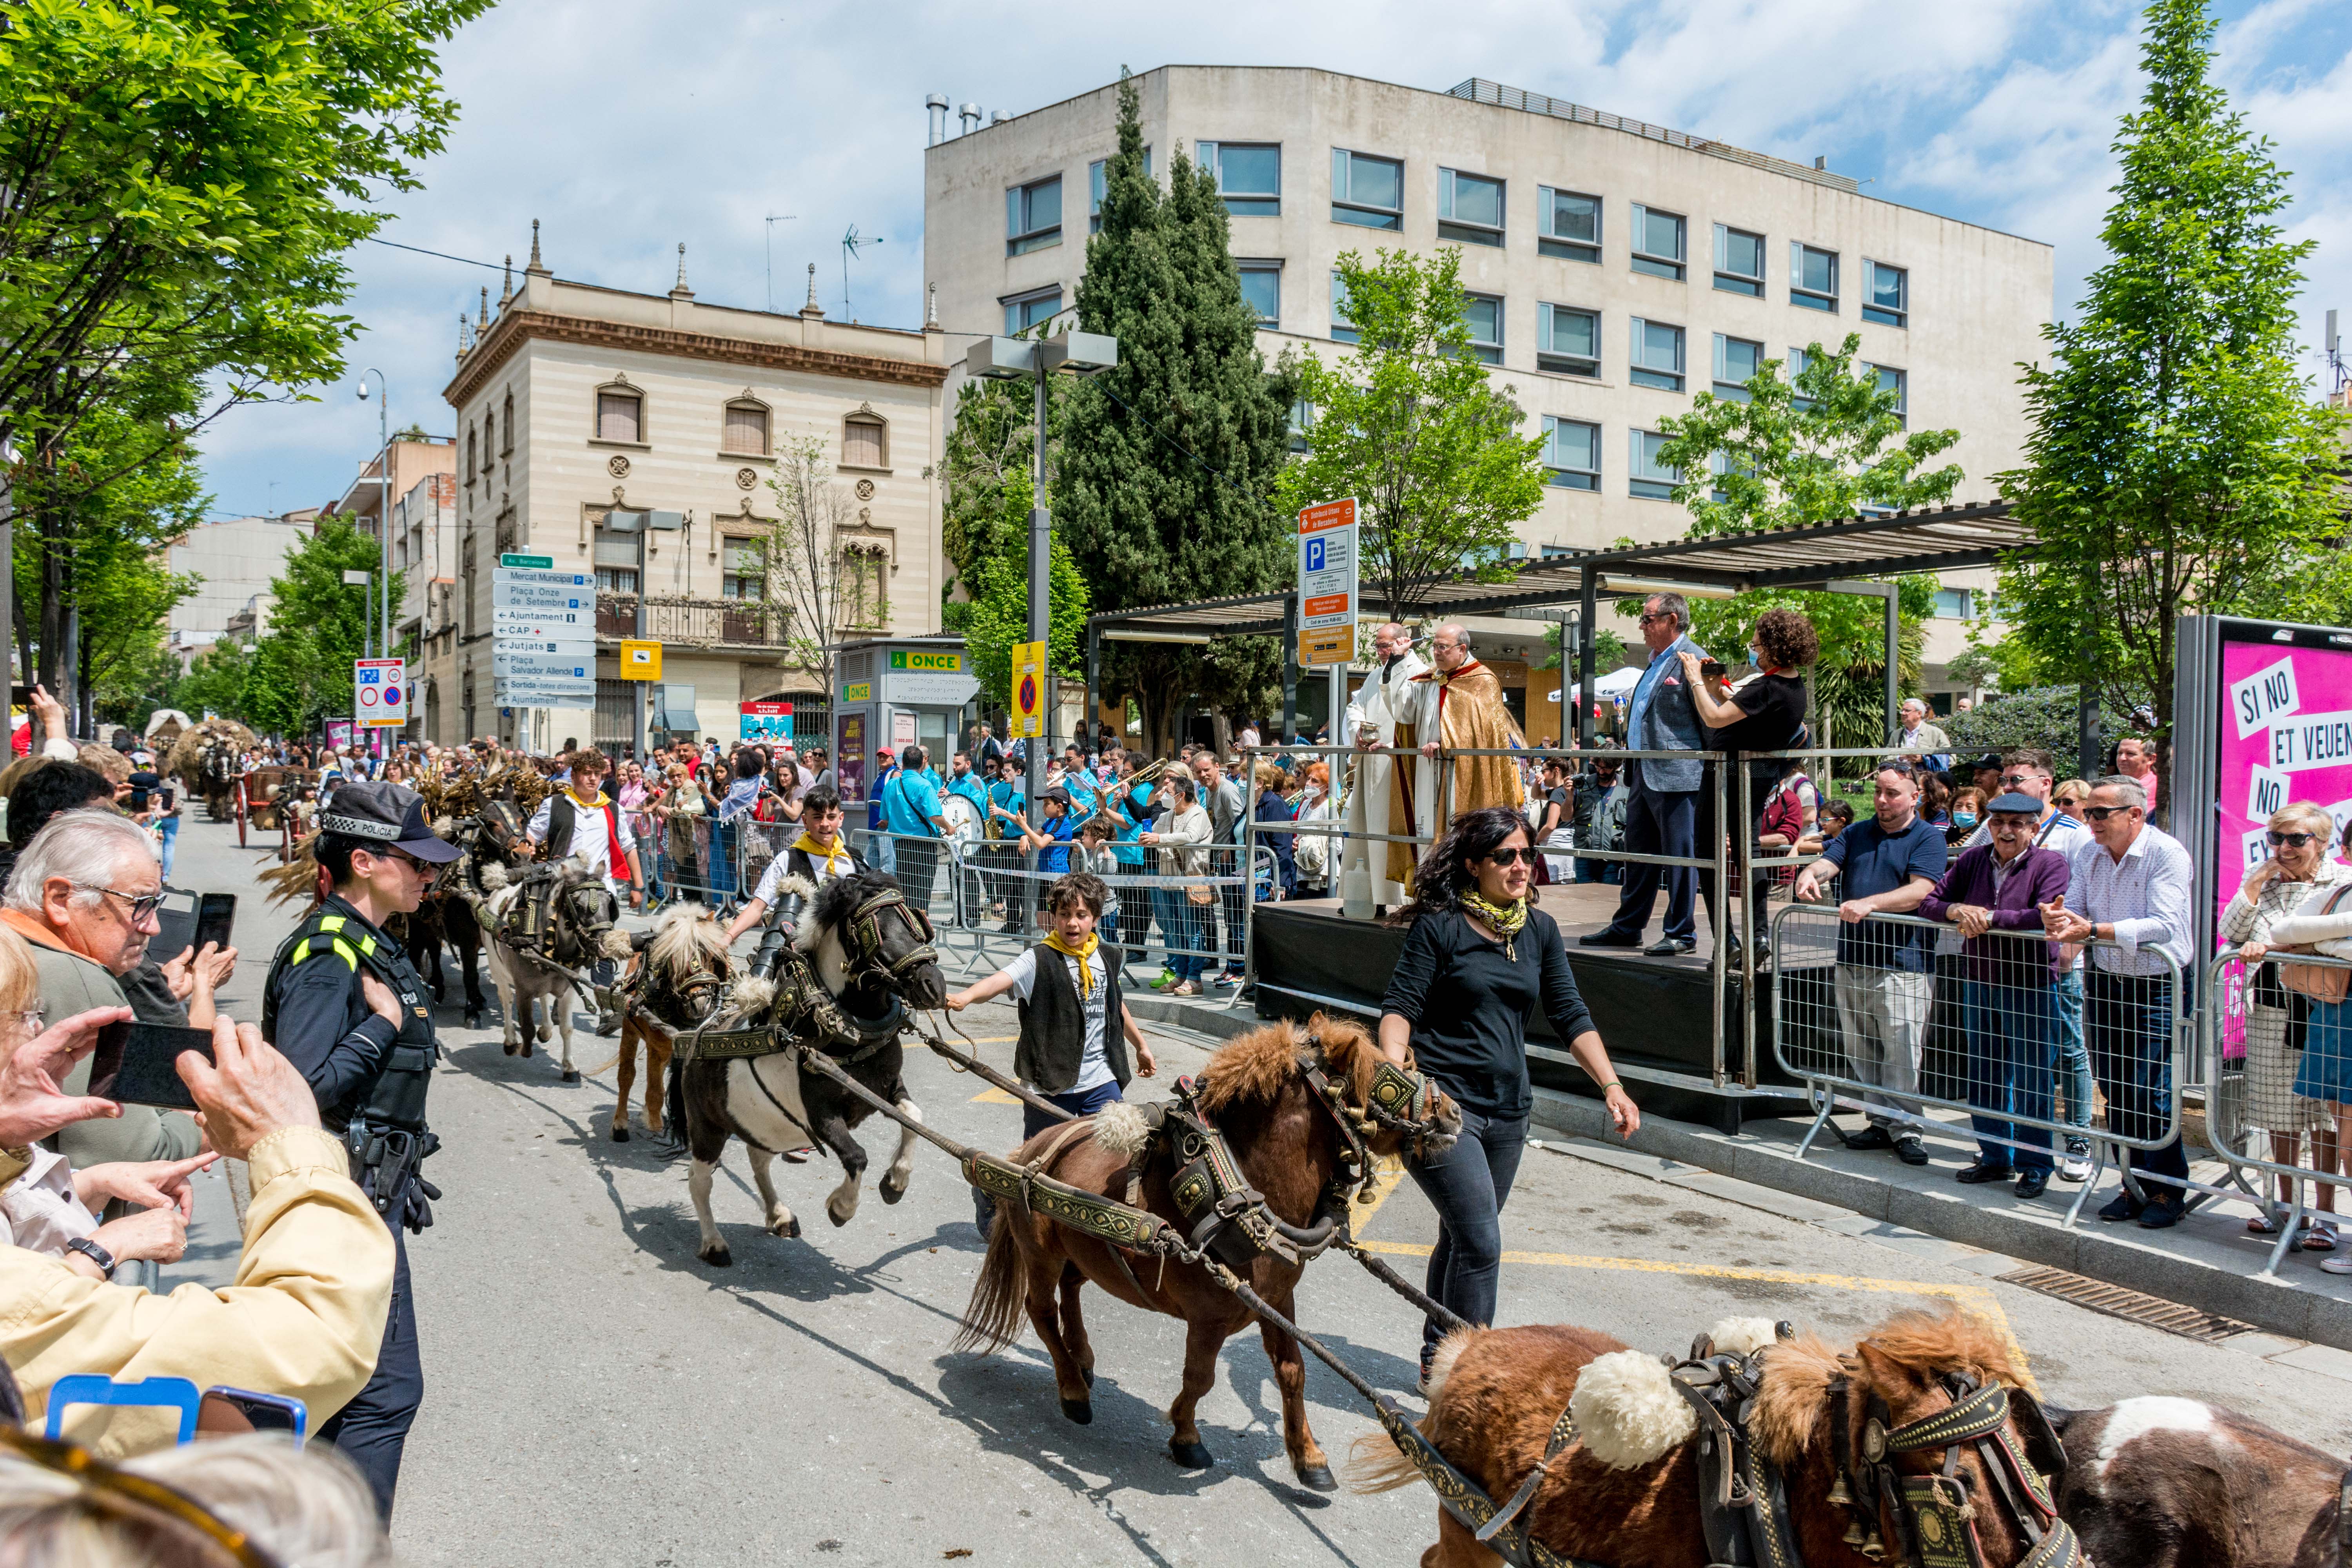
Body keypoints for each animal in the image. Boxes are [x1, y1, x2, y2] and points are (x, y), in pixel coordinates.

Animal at [673, 869, 946, 1260]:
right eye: (876, 927)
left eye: (915, 921)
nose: (933, 985)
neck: (845, 1029)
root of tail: (700, 1032)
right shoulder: (820, 1115)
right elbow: (857, 1157)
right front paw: (842, 1207)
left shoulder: (888, 1088)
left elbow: (914, 1119)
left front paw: (896, 1182)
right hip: (707, 1127)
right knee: (700, 1181)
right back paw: (713, 1243)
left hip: (763, 1124)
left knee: (758, 1159)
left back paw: (779, 1215)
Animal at [955, 1020, 1449, 1495]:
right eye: (1384, 1073)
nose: (1452, 1112)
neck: (1238, 1188)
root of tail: (1034, 1147)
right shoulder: (1208, 1317)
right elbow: (1200, 1378)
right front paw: (1186, 1437)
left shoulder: (1278, 1300)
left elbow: (1293, 1371)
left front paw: (1308, 1457)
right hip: (1040, 1251)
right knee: (1041, 1309)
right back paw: (1074, 1390)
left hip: (1081, 1249)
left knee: (1071, 1289)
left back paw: (1083, 1359)